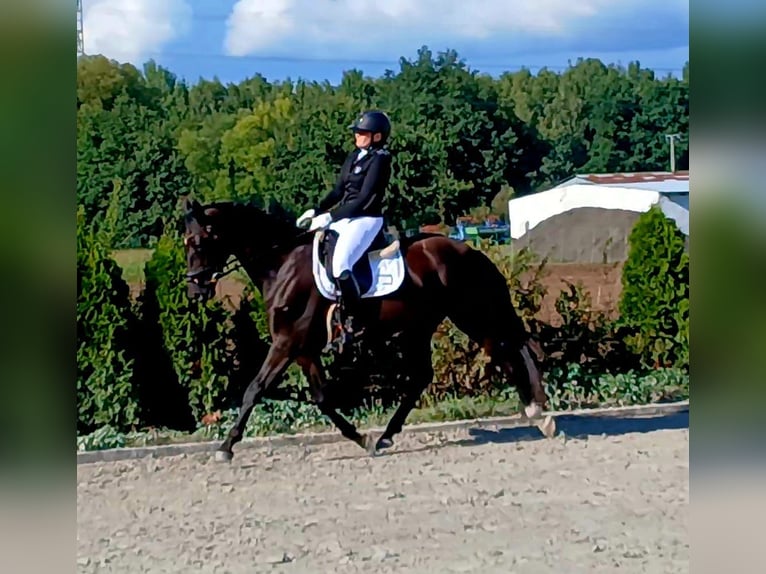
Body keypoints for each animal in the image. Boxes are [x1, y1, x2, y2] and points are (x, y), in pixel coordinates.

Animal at [181, 197, 555, 462]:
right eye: (185, 243)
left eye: (198, 242)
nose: (194, 290)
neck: (282, 263)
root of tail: (469, 250)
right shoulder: (304, 349)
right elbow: (322, 397)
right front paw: (362, 438)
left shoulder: (287, 344)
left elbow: (254, 390)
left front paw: (226, 447)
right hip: (422, 325)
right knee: (428, 373)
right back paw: (388, 434)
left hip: (470, 315)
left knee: (506, 349)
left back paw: (539, 413)